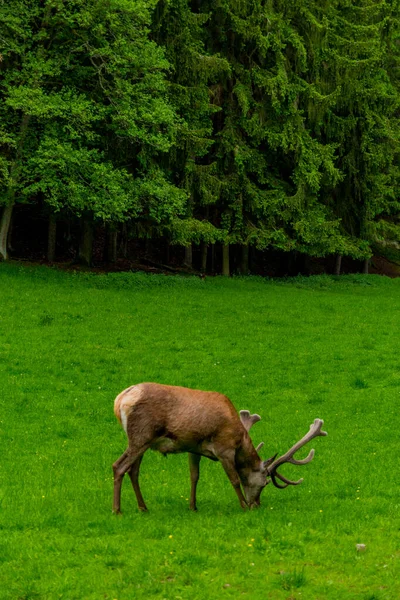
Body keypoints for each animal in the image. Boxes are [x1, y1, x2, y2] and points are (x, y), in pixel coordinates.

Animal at [111, 382, 326, 512]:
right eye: (265, 483)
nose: (256, 505)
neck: (239, 438)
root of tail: (120, 400)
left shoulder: (193, 448)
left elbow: (194, 476)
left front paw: (193, 506)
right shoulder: (224, 448)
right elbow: (234, 479)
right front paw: (242, 506)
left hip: (142, 441)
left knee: (133, 471)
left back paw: (143, 507)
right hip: (141, 435)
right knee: (118, 466)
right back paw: (117, 509)